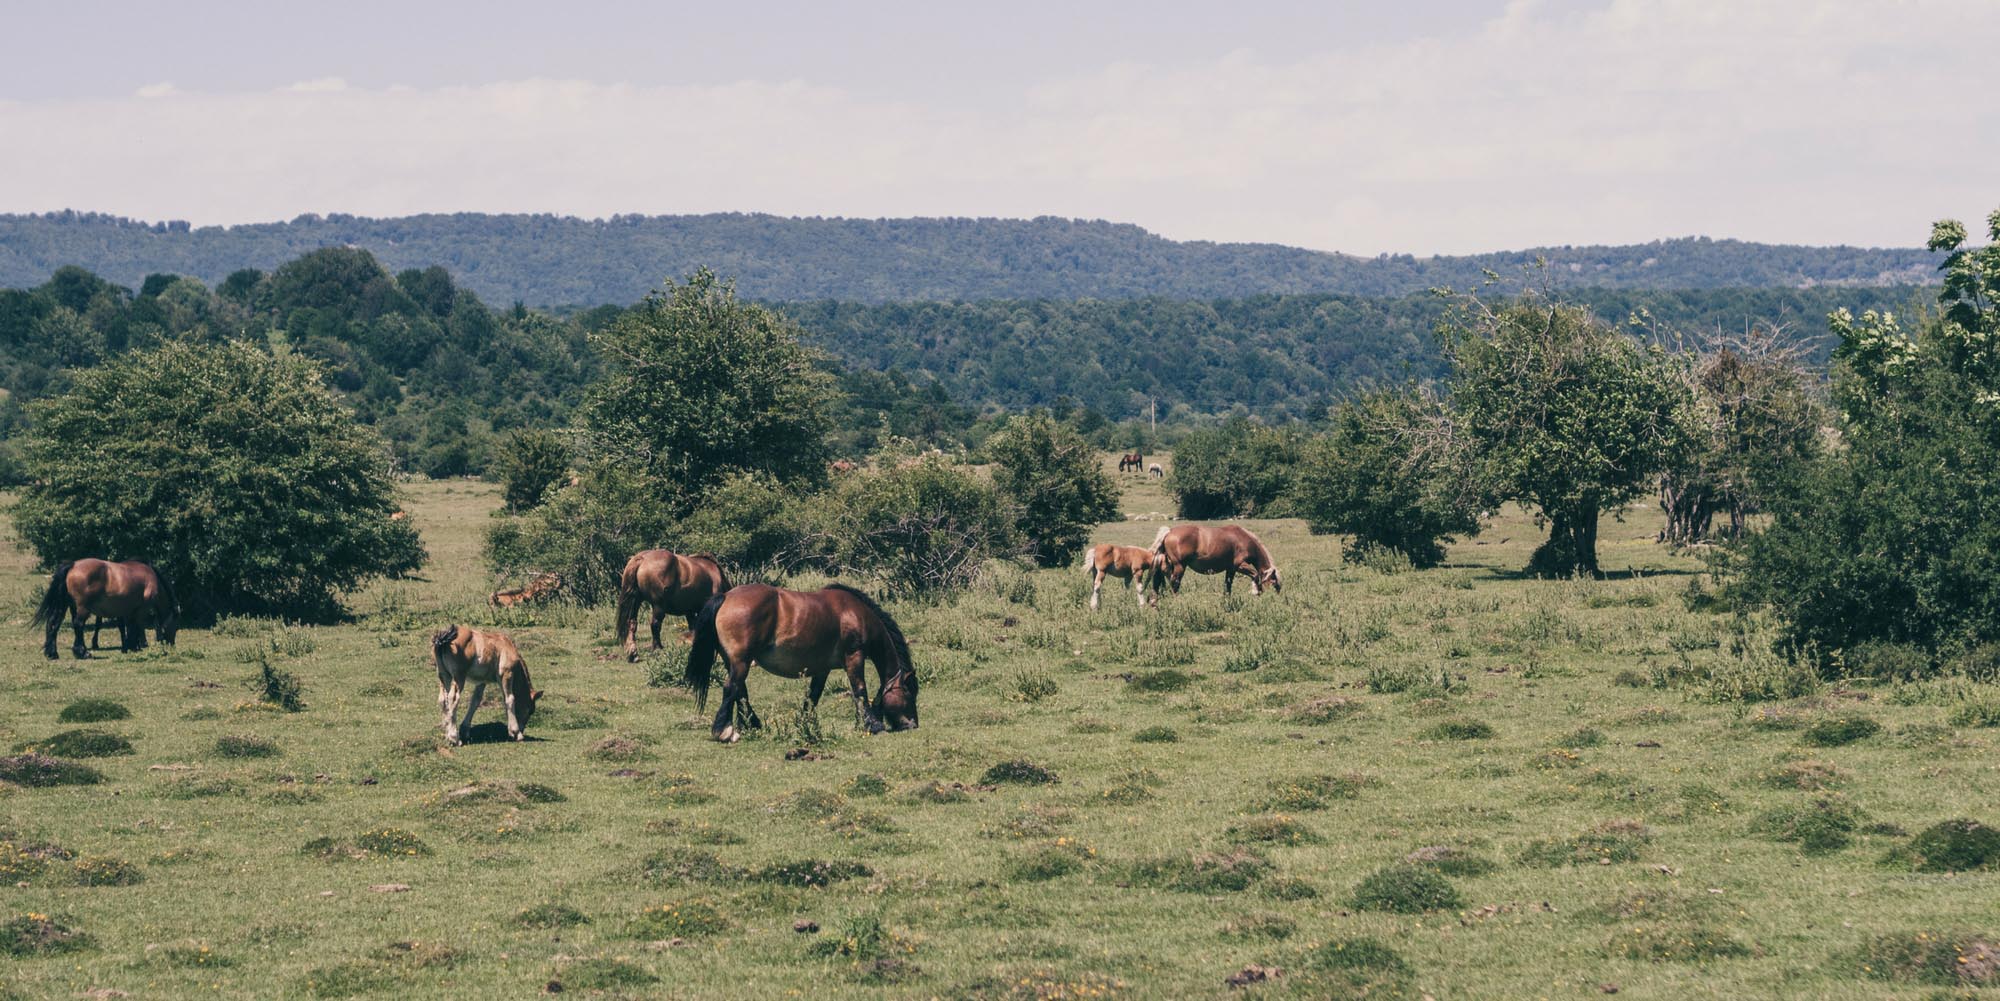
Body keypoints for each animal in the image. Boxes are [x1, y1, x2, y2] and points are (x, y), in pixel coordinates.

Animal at [34, 560, 180, 660]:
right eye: (175, 625)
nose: (173, 644)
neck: (151, 578)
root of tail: (73, 566)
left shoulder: (129, 612)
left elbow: (130, 627)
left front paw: (129, 647)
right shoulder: (141, 610)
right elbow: (136, 627)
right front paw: (132, 646)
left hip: (65, 606)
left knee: (54, 624)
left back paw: (52, 653)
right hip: (82, 609)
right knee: (78, 625)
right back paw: (82, 652)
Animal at [680, 580, 916, 744]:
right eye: (909, 693)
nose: (912, 724)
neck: (855, 613)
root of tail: (726, 597)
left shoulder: (823, 670)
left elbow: (812, 697)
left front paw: (806, 724)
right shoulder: (854, 656)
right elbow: (859, 689)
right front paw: (873, 725)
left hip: (734, 661)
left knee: (740, 691)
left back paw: (751, 724)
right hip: (741, 661)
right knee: (732, 688)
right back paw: (724, 731)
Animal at [1152, 524, 1288, 592]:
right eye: (1274, 582)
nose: (1274, 598)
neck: (1243, 539)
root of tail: (1169, 532)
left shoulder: (1231, 569)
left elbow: (1228, 585)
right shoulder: (1240, 566)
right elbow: (1255, 575)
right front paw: (1255, 592)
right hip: (1180, 566)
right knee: (1175, 583)